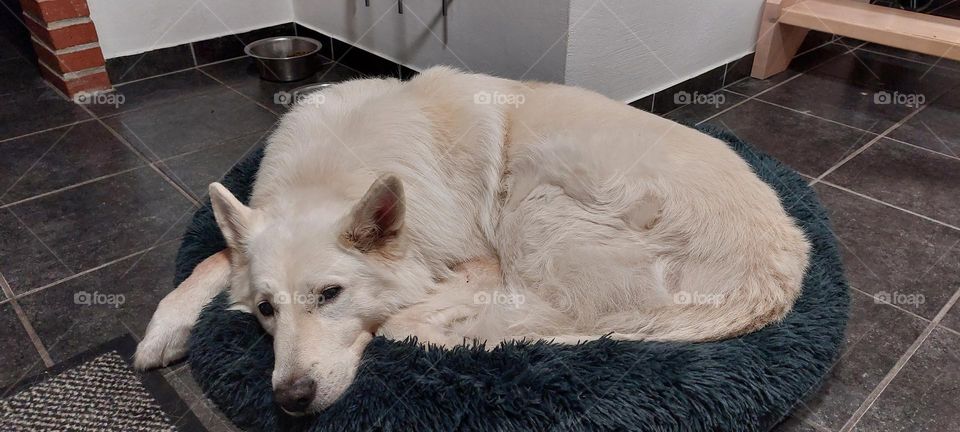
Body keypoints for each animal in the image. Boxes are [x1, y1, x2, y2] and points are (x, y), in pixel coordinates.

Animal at [133, 67, 808, 416]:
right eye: (267, 309)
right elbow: (212, 259)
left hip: (537, 192)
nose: (291, 399)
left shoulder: (478, 260)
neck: (332, 169)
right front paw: (163, 330)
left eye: (331, 295)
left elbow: (414, 309)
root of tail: (775, 283)